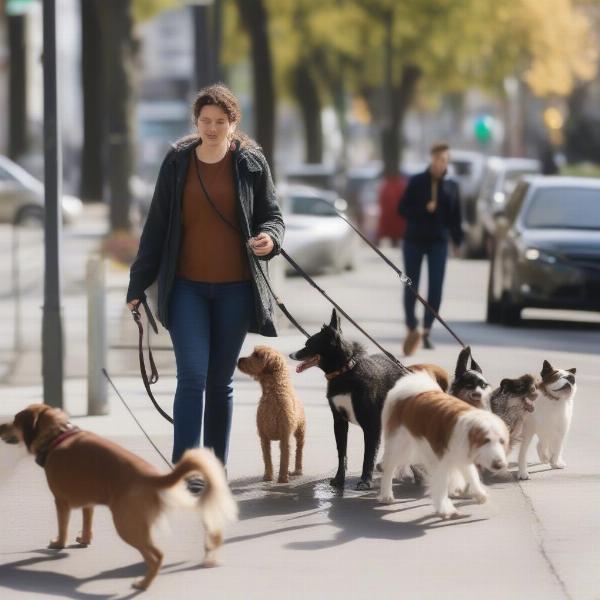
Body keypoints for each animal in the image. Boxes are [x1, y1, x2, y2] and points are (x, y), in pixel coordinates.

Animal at [0, 404, 239, 592]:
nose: (0, 426)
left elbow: (63, 527)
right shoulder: (88, 504)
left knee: (157, 556)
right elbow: (87, 523)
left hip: (126, 526)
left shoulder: (61, 501)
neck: (57, 436)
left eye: (15, 421)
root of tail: (153, 478)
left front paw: (59, 543)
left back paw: (143, 584)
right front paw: (84, 540)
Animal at [238, 346, 308, 482]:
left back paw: (297, 470)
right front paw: (268, 476)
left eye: (257, 355)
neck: (274, 392)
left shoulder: (285, 435)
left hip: (300, 431)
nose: (239, 360)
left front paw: (282, 478)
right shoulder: (263, 437)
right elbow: (267, 458)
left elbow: (284, 458)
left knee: (299, 451)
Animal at [290, 310, 406, 488]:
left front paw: (365, 481)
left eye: (309, 344)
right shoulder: (339, 421)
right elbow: (341, 452)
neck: (344, 371)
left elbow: (368, 455)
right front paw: (339, 479)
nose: (291, 355)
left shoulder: (372, 425)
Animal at [378, 372, 508, 516]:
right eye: (486, 440)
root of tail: (413, 389)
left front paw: (479, 494)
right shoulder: (441, 461)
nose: (500, 465)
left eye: (502, 441)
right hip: (400, 445)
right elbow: (441, 484)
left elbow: (471, 474)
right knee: (389, 467)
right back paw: (386, 495)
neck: (468, 429)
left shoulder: (461, 456)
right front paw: (446, 508)